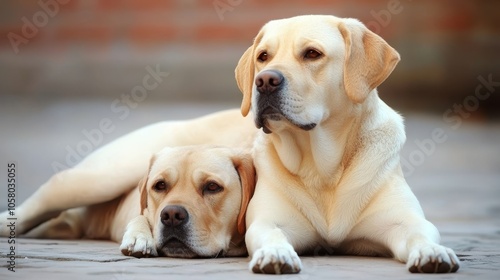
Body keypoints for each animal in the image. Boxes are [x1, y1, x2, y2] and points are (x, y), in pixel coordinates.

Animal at [0, 110, 256, 258]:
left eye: (212, 187)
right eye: (159, 185)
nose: (171, 215)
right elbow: (141, 216)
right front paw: (139, 237)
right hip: (100, 179)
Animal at [234, 14, 460, 274]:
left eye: (312, 53)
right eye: (263, 56)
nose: (264, 81)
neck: (323, 172)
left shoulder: (405, 221)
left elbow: (419, 234)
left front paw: (432, 251)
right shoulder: (268, 221)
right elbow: (271, 235)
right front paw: (275, 253)